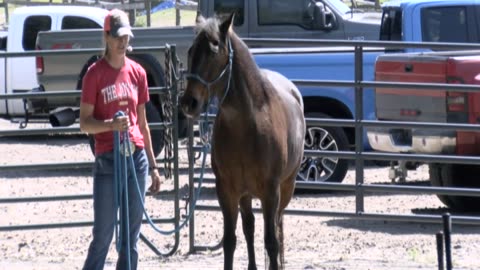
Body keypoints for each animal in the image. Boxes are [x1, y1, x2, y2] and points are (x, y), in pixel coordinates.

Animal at [178, 13, 306, 270]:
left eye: (213, 50)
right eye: (191, 50)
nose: (189, 103)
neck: (246, 125)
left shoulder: (271, 191)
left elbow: (271, 242)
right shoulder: (226, 190)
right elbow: (230, 240)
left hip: (286, 187)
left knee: (277, 225)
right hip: (245, 194)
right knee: (249, 226)